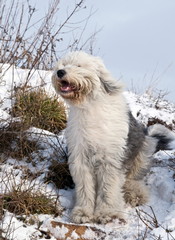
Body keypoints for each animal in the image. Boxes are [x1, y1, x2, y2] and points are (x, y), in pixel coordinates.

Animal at [51, 50, 174, 223]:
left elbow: (109, 187)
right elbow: (85, 187)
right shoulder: (80, 157)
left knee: (133, 179)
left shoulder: (111, 157)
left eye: (79, 66)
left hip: (144, 149)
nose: (60, 72)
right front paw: (83, 212)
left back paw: (134, 193)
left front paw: (108, 213)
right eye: (62, 65)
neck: (90, 106)